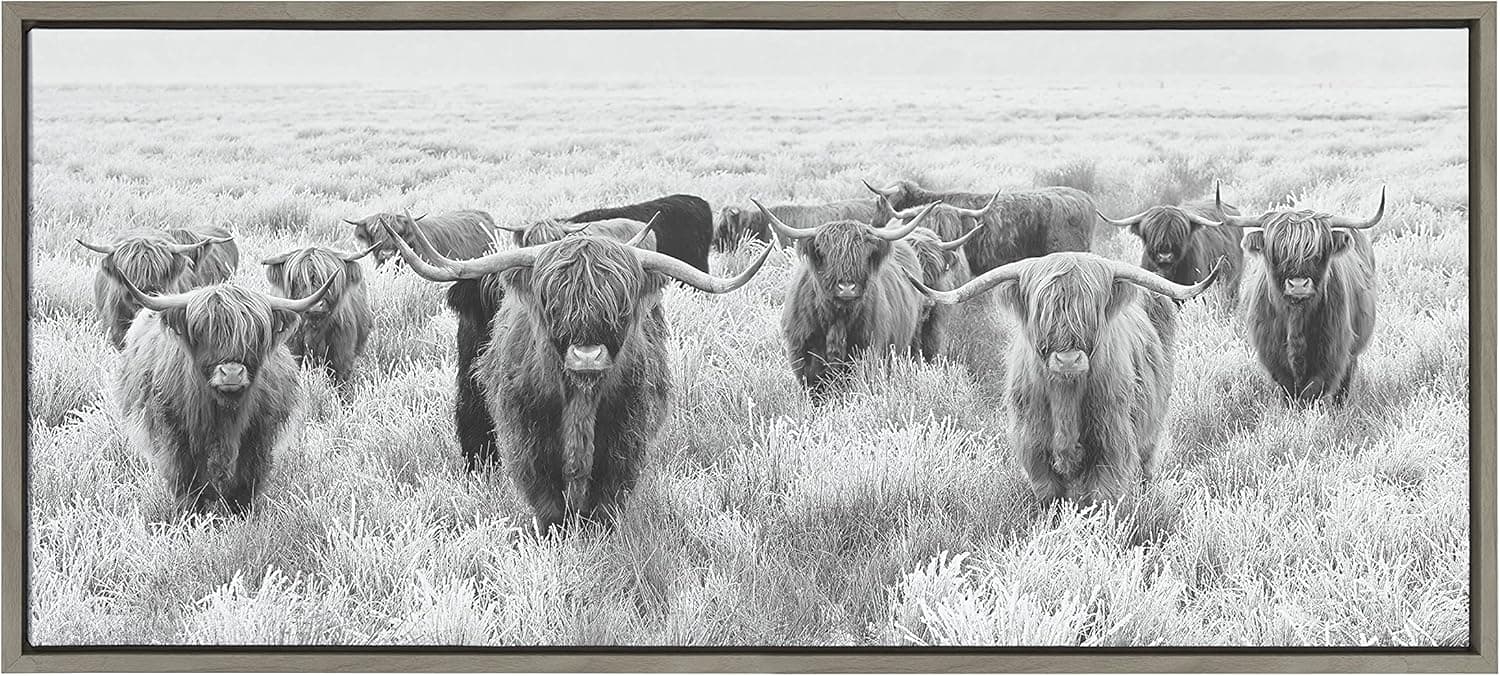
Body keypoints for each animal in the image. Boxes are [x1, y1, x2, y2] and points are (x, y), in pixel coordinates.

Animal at [115, 276, 334, 514]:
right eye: (202, 331)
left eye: (256, 334)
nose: (232, 372)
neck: (225, 417)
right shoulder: (175, 438)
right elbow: (187, 484)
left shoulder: (258, 437)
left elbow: (245, 483)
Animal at [754, 199, 941, 399]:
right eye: (825, 253)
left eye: (864, 254)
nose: (846, 288)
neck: (837, 319)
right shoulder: (805, 358)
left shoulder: (867, 352)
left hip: (912, 340)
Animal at [907, 252, 1224, 504]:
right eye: (1042, 310)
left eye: (1091, 309)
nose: (1068, 359)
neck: (1065, 398)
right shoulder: (1034, 449)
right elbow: (1051, 498)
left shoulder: (1112, 446)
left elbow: (1100, 500)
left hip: (1152, 428)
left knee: (1146, 464)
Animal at [1216, 183, 1382, 404]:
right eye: (1276, 251)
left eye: (1319, 251)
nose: (1298, 285)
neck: (1296, 317)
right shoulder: (1273, 357)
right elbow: (1290, 392)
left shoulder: (1332, 353)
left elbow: (1313, 391)